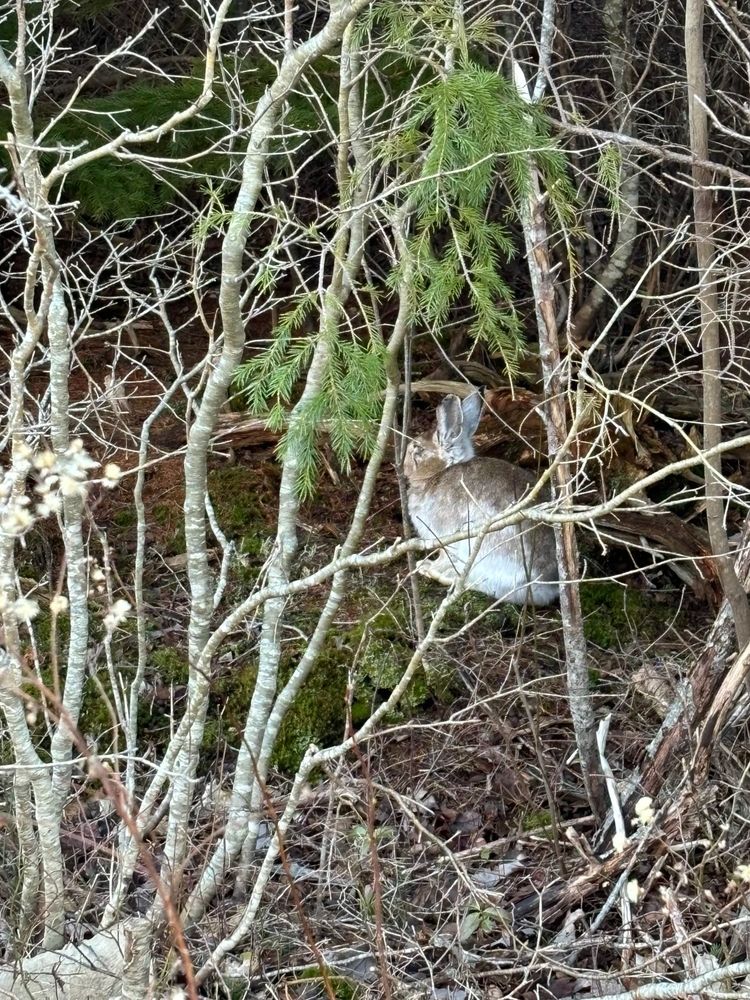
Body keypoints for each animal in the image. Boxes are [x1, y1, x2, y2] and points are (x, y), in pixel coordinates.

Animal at [404, 391, 559, 606]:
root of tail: (543, 584)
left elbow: (443, 558)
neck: (439, 473)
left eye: (417, 450)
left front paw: (427, 566)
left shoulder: (444, 540)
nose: (404, 466)